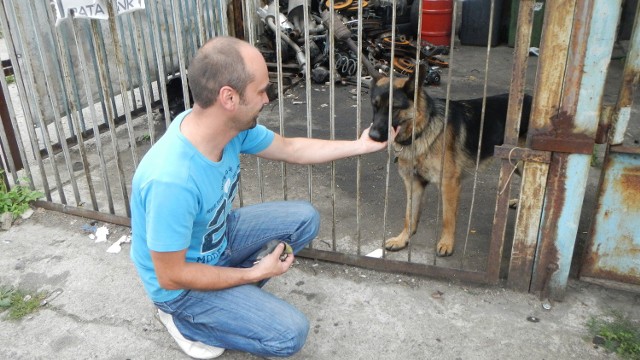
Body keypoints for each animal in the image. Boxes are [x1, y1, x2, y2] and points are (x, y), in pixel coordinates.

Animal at [368, 64, 532, 256]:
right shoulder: (413, 184)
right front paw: (402, 239)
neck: (422, 130)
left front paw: (446, 243)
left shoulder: (449, 185)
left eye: (394, 108)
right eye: (375, 106)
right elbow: (409, 217)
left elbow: (448, 218)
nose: (372, 136)